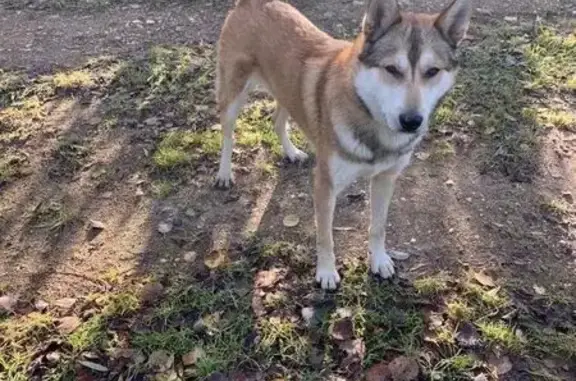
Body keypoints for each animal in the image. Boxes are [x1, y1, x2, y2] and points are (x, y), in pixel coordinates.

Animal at [214, 0, 470, 288]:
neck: (370, 118)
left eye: (432, 72)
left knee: (277, 120)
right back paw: (224, 173)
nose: (411, 121)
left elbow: (378, 227)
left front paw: (378, 260)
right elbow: (325, 236)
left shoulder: (385, 178)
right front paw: (326, 272)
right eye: (392, 69)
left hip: (286, 91)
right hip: (233, 95)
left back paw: (291, 152)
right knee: (228, 134)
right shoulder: (325, 185)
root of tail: (250, 3)